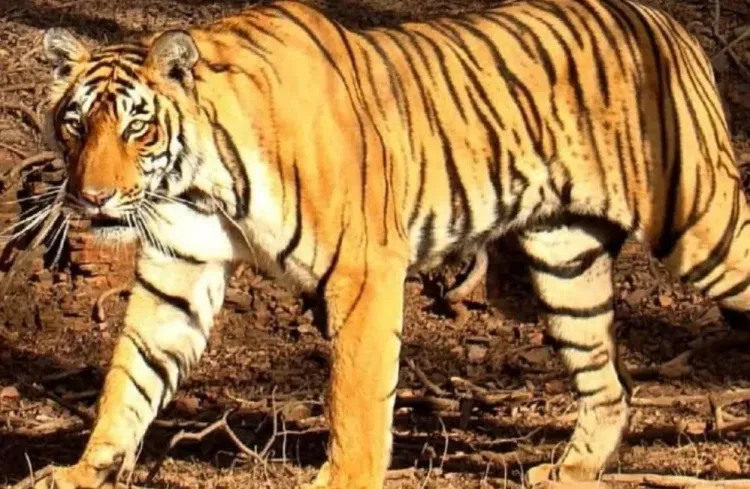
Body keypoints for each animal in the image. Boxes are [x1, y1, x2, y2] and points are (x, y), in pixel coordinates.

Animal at [30, 0, 747, 487]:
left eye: (138, 128)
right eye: (75, 123)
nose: (92, 198)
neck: (198, 183)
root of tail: (666, 21)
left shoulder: (364, 268)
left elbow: (356, 392)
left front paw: (343, 479)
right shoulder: (179, 268)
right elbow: (130, 378)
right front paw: (81, 472)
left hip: (699, 221)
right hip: (567, 261)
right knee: (609, 386)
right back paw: (571, 471)